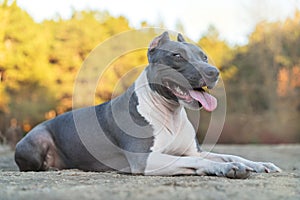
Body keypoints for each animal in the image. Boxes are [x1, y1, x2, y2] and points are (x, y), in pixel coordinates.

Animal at [14, 32, 282, 179]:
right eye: (177, 56)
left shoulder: (191, 152)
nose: (213, 72)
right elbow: (204, 162)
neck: (170, 111)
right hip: (36, 141)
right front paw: (225, 168)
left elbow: (227, 154)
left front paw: (259, 164)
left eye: (203, 56)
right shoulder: (144, 159)